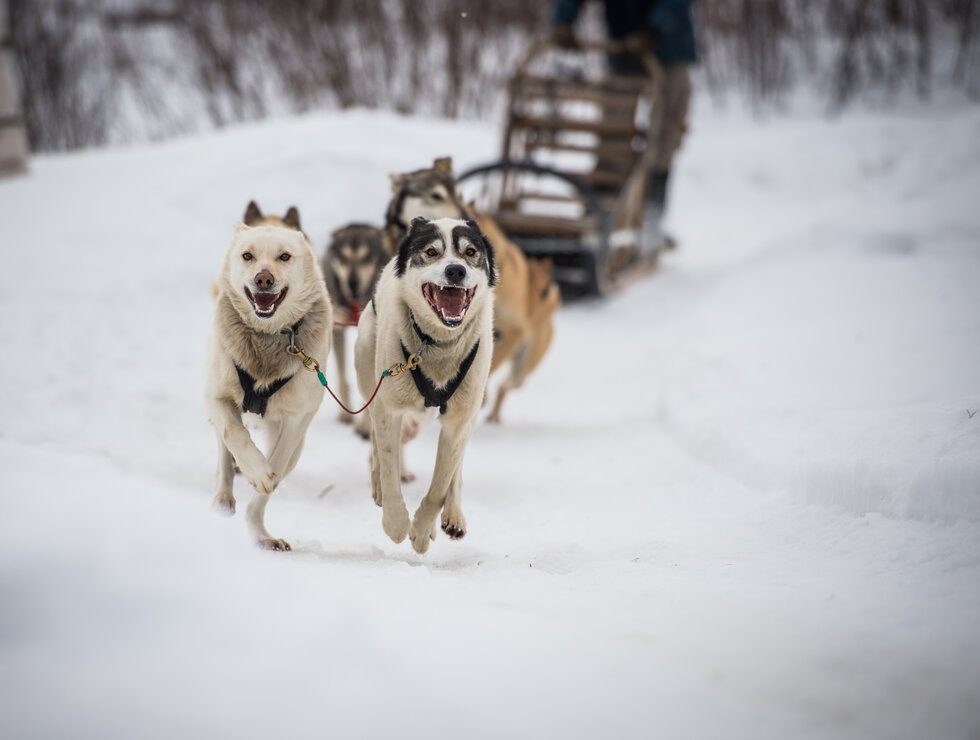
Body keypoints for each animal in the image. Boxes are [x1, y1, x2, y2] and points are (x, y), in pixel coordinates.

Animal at [205, 207, 332, 548]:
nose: (264, 278)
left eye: (284, 256)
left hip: (296, 444)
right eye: (247, 255)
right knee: (224, 454)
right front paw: (255, 470)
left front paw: (262, 483)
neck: (266, 337)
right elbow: (234, 435)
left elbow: (272, 473)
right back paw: (223, 498)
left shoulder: (295, 422)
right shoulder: (217, 396)